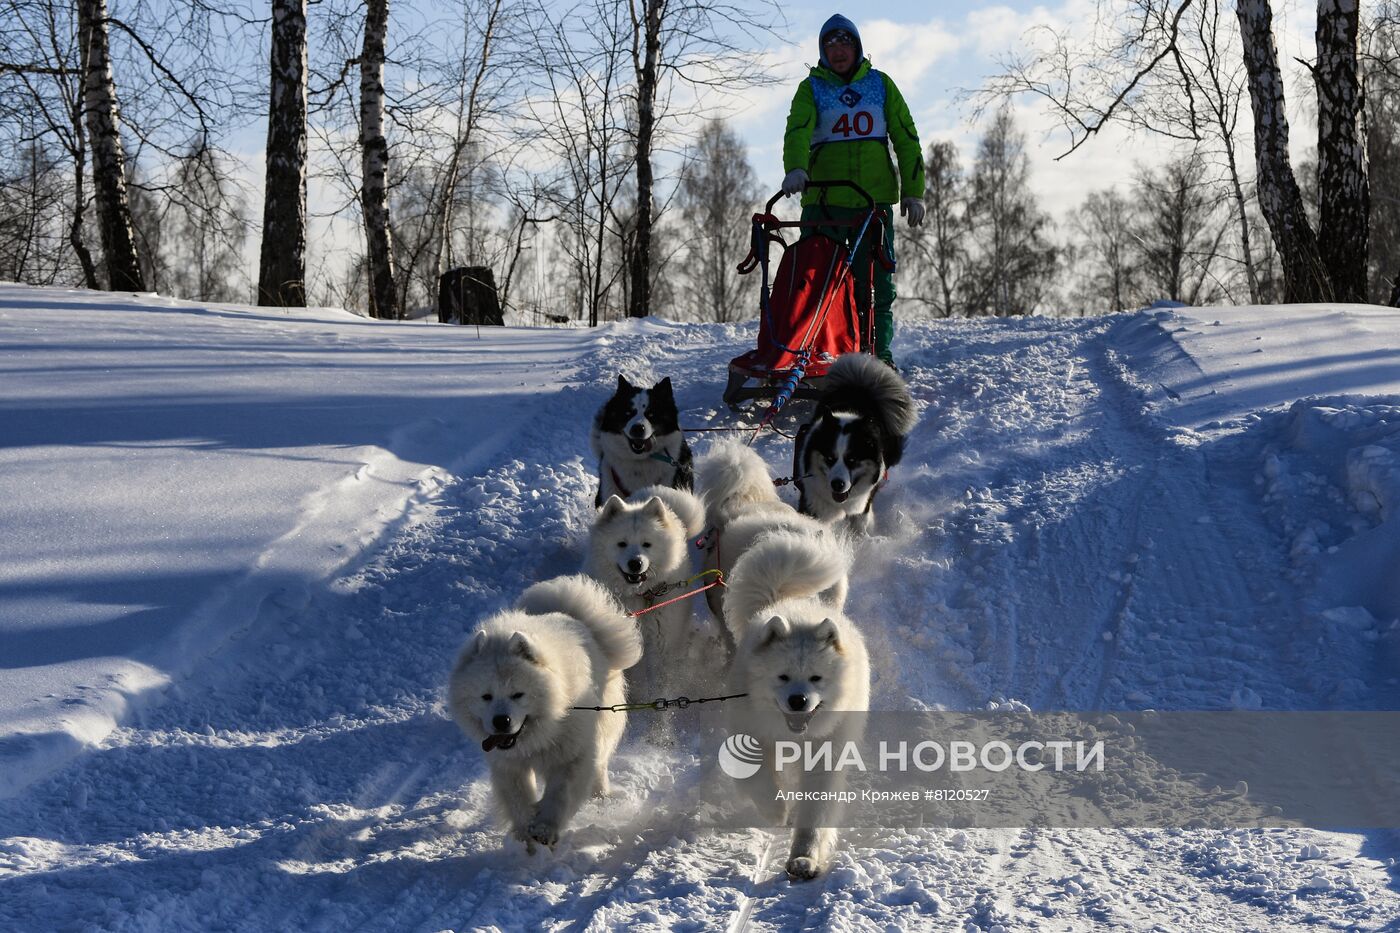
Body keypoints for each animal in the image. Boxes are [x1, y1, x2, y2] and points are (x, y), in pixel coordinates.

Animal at [445, 574, 641, 851]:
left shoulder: (571, 755)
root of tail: (571, 615)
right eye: (486, 696)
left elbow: (559, 794)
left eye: (518, 694)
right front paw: (525, 834)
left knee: (600, 763)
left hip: (602, 723)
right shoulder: (509, 765)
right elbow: (518, 799)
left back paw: (600, 796)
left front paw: (545, 829)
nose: (501, 721)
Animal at [582, 487, 711, 697]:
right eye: (622, 543)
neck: (639, 596)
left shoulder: (660, 643)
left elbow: (659, 684)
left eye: (647, 544)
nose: (635, 563)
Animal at [722, 526, 862, 874]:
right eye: (782, 677)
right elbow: (759, 780)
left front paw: (804, 858)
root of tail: (788, 600)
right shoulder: (749, 733)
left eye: (816, 678)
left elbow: (815, 814)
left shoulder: (826, 756)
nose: (798, 701)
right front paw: (777, 812)